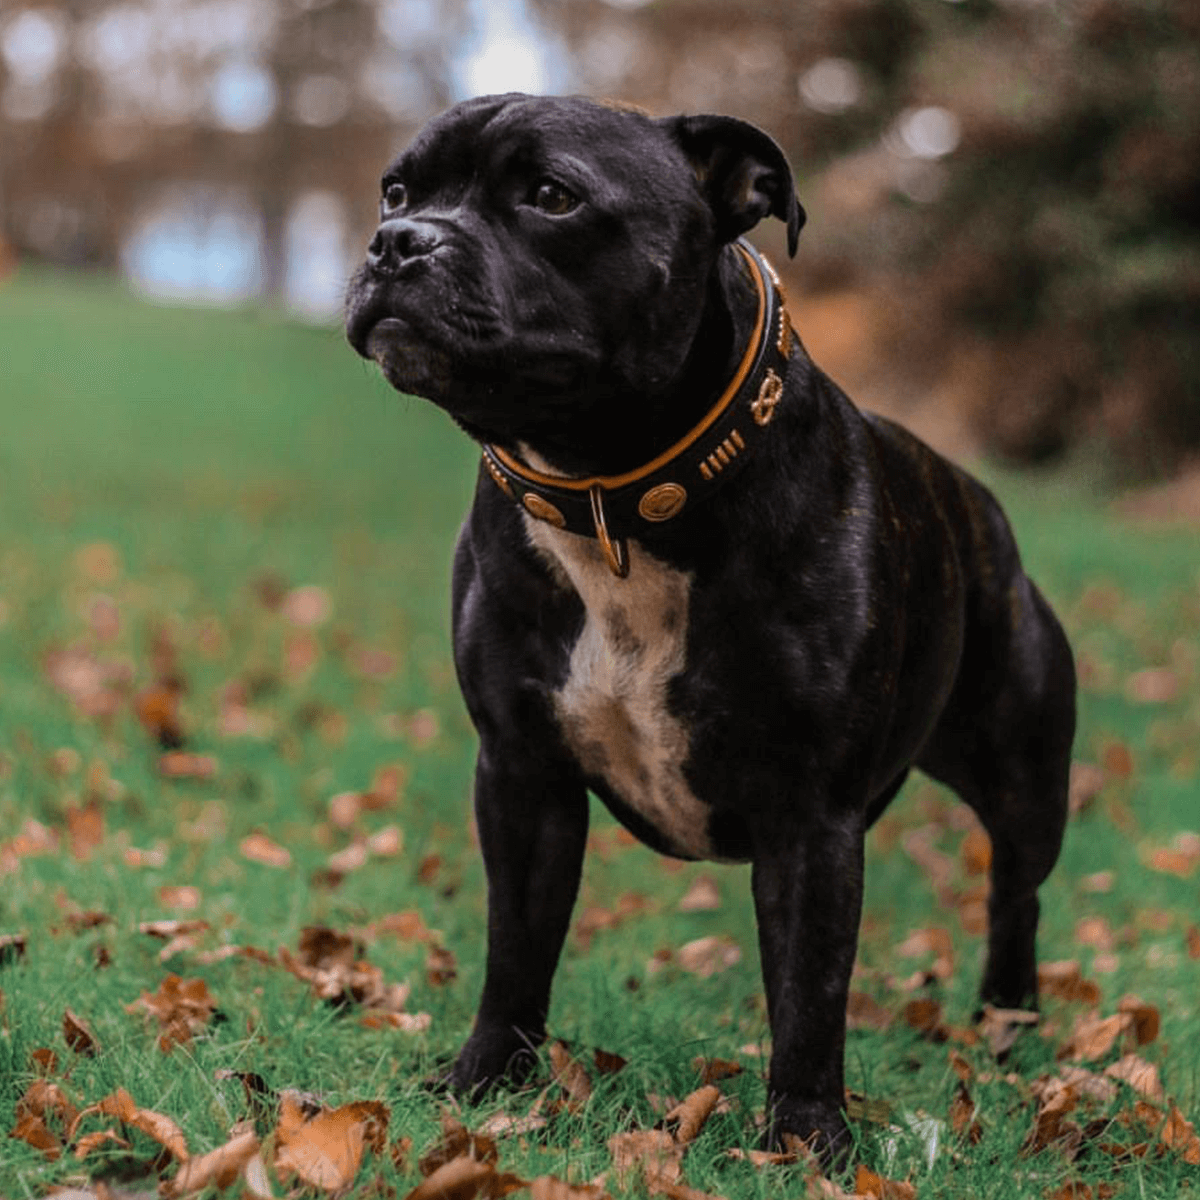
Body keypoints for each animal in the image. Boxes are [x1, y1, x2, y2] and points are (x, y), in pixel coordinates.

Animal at [343, 93, 1075, 1152]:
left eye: (552, 197)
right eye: (399, 190)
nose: (399, 240)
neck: (614, 493)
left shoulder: (810, 816)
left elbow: (810, 990)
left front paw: (806, 1140)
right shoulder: (522, 776)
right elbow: (516, 945)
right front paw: (486, 1079)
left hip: (1023, 780)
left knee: (1015, 894)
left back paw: (1008, 1026)